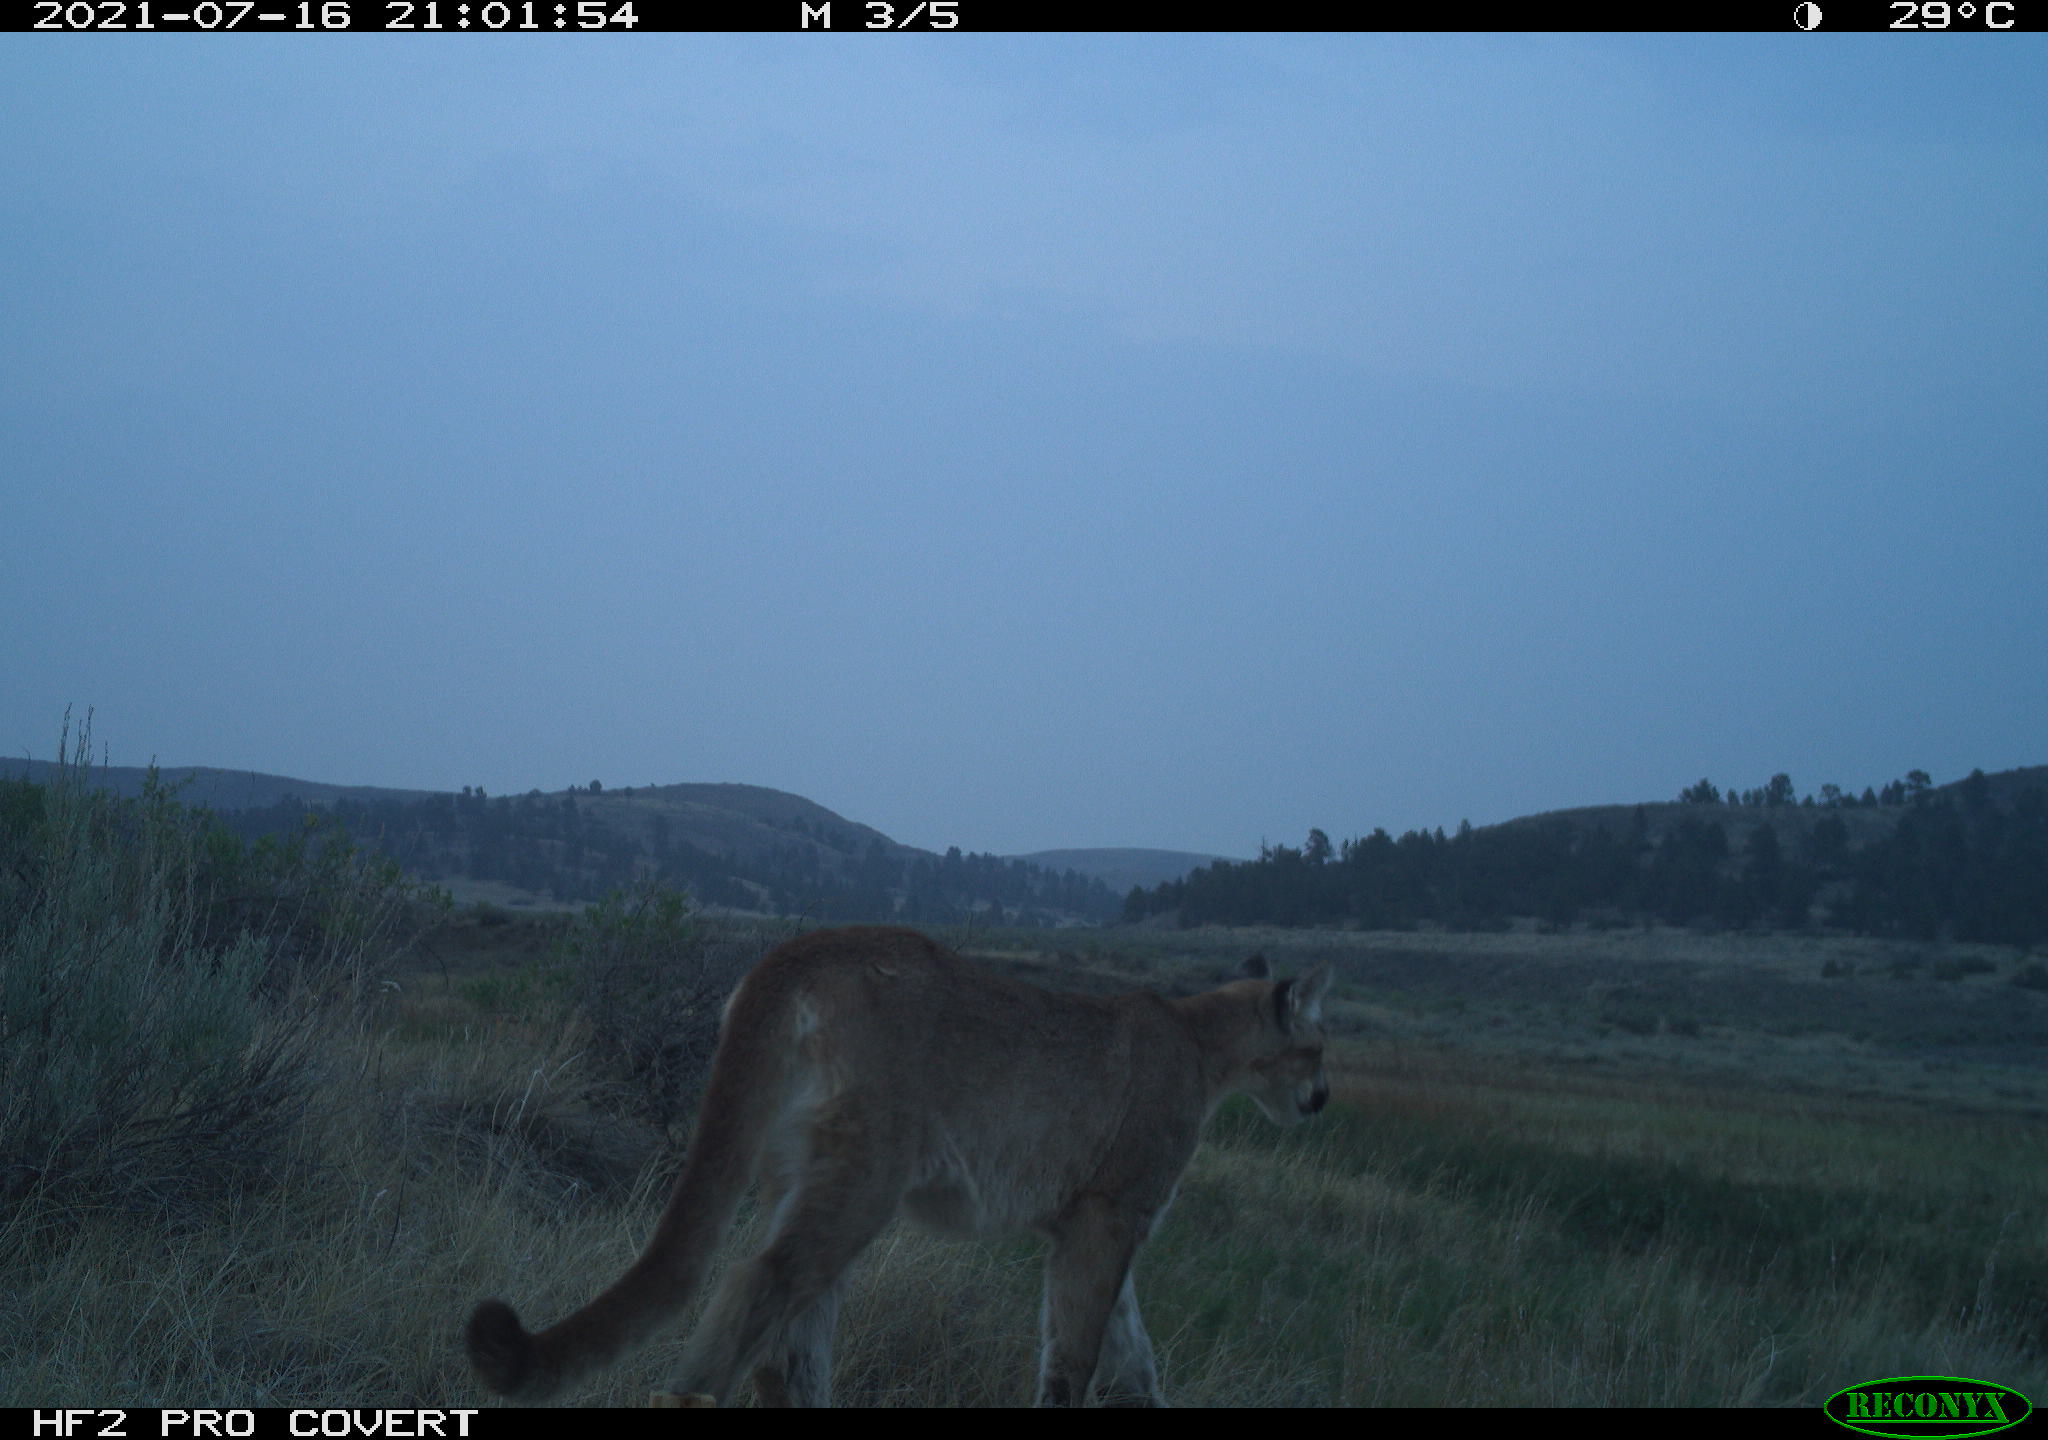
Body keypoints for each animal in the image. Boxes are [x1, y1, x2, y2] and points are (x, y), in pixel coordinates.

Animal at [466, 925, 1335, 1409]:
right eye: (1322, 1046)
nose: (1325, 1096)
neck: (1202, 1044)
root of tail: (800, 948)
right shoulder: (1109, 1211)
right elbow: (1077, 1356)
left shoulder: (1088, 1225)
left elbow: (1132, 1359)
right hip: (864, 1177)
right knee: (755, 1287)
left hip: (802, 1174)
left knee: (791, 1342)